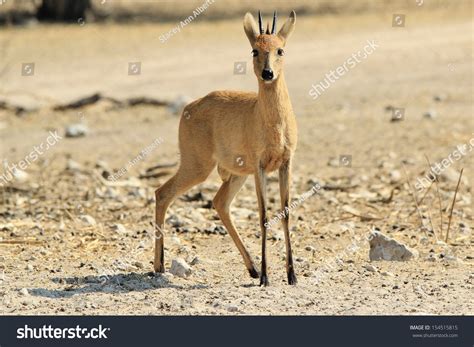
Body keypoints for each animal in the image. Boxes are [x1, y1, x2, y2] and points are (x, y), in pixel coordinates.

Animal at [155, 11, 296, 288]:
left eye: (280, 49)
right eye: (254, 50)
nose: (268, 73)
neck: (274, 123)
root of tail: (189, 107)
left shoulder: (285, 163)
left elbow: (285, 213)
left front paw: (291, 276)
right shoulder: (260, 168)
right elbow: (264, 216)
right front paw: (267, 277)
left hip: (236, 175)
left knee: (219, 202)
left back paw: (252, 269)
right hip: (198, 167)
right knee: (162, 193)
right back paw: (158, 266)